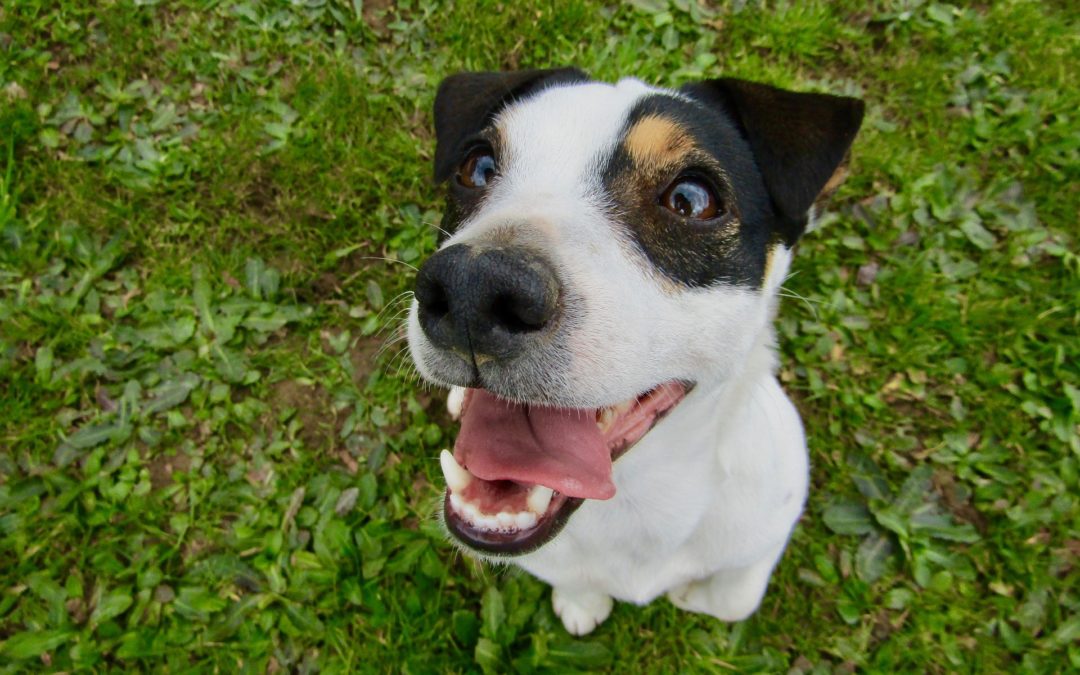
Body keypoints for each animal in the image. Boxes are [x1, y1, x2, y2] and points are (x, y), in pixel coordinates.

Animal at [403, 67, 859, 630]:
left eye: (691, 199)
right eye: (478, 167)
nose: (472, 288)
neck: (637, 495)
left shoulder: (770, 515)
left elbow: (734, 598)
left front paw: (690, 593)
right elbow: (573, 580)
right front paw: (582, 603)